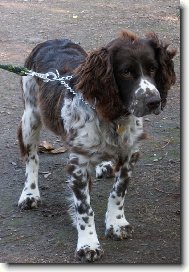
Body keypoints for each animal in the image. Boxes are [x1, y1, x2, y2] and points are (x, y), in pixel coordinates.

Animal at [17, 29, 176, 262]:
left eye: (153, 68)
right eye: (126, 72)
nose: (154, 101)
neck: (113, 117)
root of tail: (51, 40)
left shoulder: (130, 153)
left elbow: (118, 192)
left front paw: (116, 223)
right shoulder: (78, 164)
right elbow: (84, 209)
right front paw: (88, 243)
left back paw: (104, 165)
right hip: (30, 118)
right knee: (31, 158)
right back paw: (30, 194)